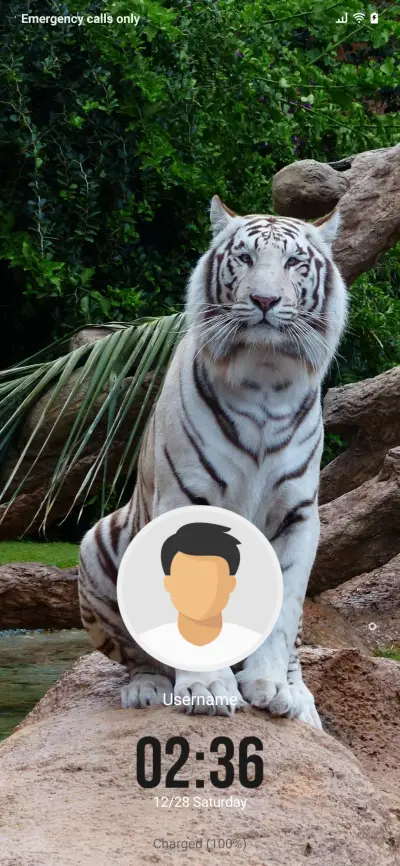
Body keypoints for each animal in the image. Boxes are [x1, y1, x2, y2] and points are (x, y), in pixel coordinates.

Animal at [79, 195, 347, 728]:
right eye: (244, 258)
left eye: (294, 262)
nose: (264, 301)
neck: (266, 379)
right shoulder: (186, 499)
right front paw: (206, 688)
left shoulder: (299, 516)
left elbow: (284, 611)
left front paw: (270, 688)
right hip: (94, 546)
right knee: (137, 655)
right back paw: (147, 688)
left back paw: (300, 700)